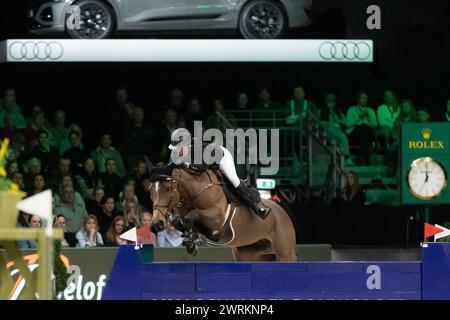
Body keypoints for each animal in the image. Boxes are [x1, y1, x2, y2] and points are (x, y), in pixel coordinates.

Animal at [148, 166, 298, 262]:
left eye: (167, 189)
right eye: (150, 191)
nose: (157, 223)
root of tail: (282, 211)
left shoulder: (218, 220)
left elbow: (192, 215)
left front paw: (196, 238)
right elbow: (178, 221)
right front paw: (191, 242)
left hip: (285, 253)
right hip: (250, 254)